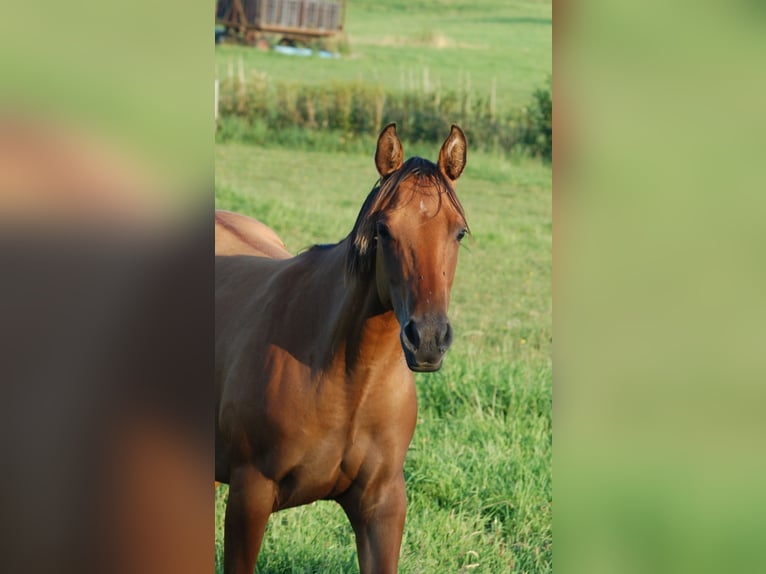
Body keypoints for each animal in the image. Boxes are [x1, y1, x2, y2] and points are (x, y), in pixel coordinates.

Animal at [213, 126, 472, 574]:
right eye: (383, 229)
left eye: (457, 232)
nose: (427, 338)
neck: (347, 379)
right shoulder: (249, 496)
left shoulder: (382, 506)